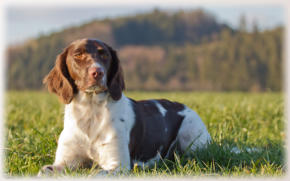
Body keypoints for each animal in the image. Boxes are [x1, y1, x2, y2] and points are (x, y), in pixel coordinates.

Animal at [38, 38, 211, 175]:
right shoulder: (65, 162)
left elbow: (96, 173)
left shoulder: (117, 165)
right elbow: (44, 170)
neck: (91, 111)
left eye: (105, 55)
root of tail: (183, 106)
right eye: (78, 55)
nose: (98, 72)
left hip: (191, 136)